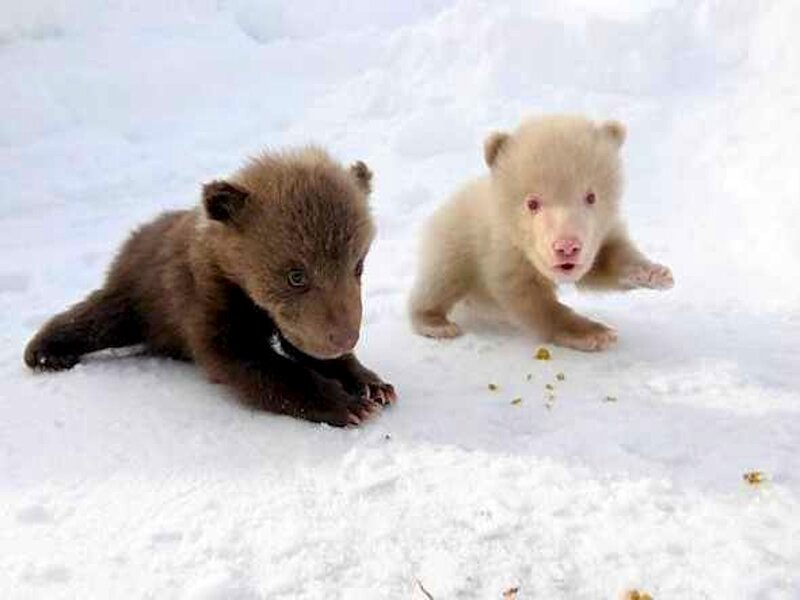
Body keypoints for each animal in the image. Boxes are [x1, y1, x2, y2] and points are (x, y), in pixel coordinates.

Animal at [24, 147, 396, 426]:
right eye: (296, 275)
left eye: (358, 264)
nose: (345, 337)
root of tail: (136, 234)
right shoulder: (206, 299)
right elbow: (250, 362)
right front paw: (346, 404)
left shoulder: (293, 319)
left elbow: (303, 347)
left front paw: (371, 384)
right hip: (140, 296)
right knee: (98, 318)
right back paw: (46, 352)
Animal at [409, 114, 673, 351]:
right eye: (532, 203)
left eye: (591, 196)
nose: (566, 247)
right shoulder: (502, 245)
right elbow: (527, 296)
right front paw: (592, 333)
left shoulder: (602, 232)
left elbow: (603, 263)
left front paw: (653, 274)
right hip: (454, 235)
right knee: (441, 277)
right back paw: (435, 323)